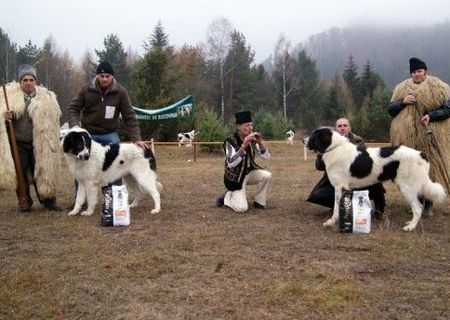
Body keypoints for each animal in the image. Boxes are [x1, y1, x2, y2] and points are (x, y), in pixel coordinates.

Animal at [306, 129, 446, 231]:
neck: (334, 147)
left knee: (418, 208)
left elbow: (336, 207)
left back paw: (410, 227)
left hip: (407, 187)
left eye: (313, 136)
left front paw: (331, 222)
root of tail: (420, 154)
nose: (303, 140)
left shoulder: (339, 187)